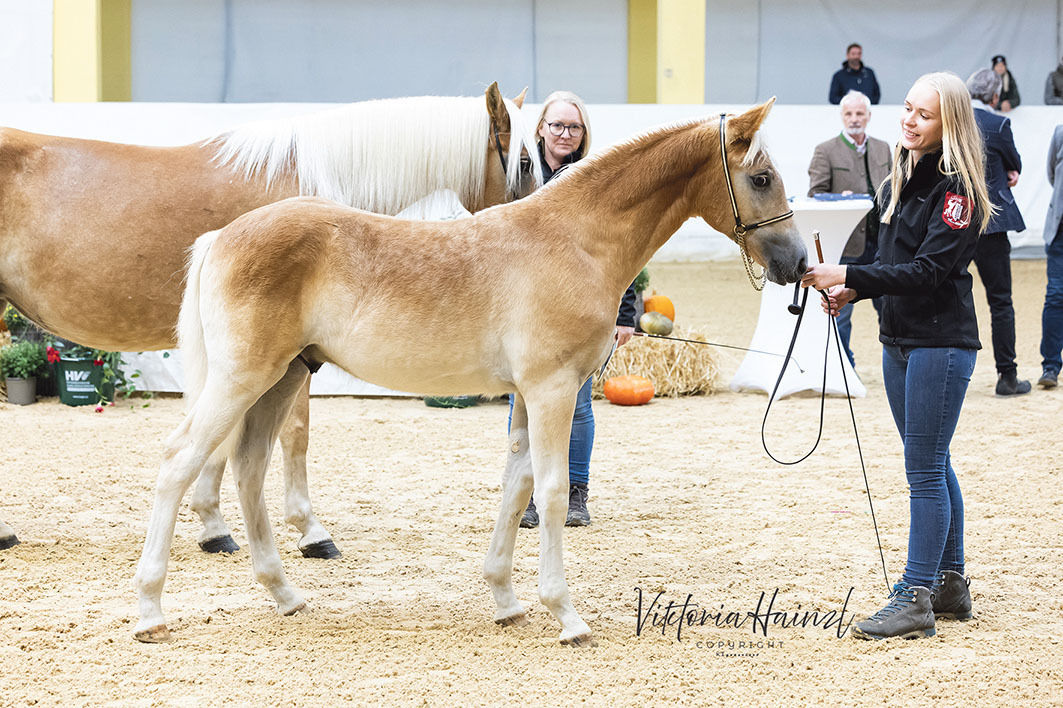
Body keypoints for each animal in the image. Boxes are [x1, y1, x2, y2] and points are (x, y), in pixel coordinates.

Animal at [135, 97, 803, 646]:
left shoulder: (529, 397)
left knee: (247, 469)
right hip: (242, 378)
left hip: (282, 379)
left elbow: (516, 488)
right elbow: (551, 492)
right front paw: (566, 616)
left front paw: (507, 602)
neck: (574, 239)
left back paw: (286, 595)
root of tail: (222, 236)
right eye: (761, 178)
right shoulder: (552, 390)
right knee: (178, 461)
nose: (796, 262)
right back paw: (150, 611)